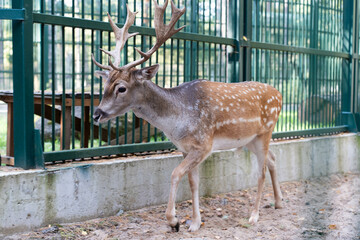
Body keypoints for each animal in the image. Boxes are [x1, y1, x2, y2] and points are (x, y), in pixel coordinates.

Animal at [93, 0, 284, 232]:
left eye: (121, 88)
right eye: (105, 84)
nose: (96, 114)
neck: (176, 123)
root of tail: (279, 94)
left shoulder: (204, 145)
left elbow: (175, 174)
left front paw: (174, 220)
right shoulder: (185, 148)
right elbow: (194, 183)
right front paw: (194, 222)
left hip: (266, 130)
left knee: (261, 170)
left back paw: (254, 216)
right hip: (250, 139)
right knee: (272, 159)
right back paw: (278, 202)